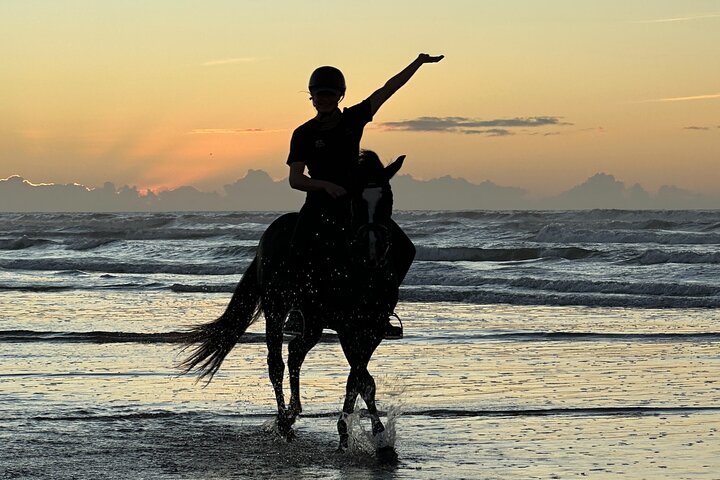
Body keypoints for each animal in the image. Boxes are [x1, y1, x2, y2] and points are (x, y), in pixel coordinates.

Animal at [179, 159, 404, 460]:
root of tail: (269, 235)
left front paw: (360, 435)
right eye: (356, 201)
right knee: (276, 362)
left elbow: (358, 379)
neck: (360, 272)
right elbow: (361, 379)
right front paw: (370, 437)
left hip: (314, 323)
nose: (373, 249)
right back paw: (284, 422)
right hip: (277, 308)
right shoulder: (347, 329)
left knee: (296, 351)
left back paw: (293, 412)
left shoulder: (372, 329)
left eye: (388, 198)